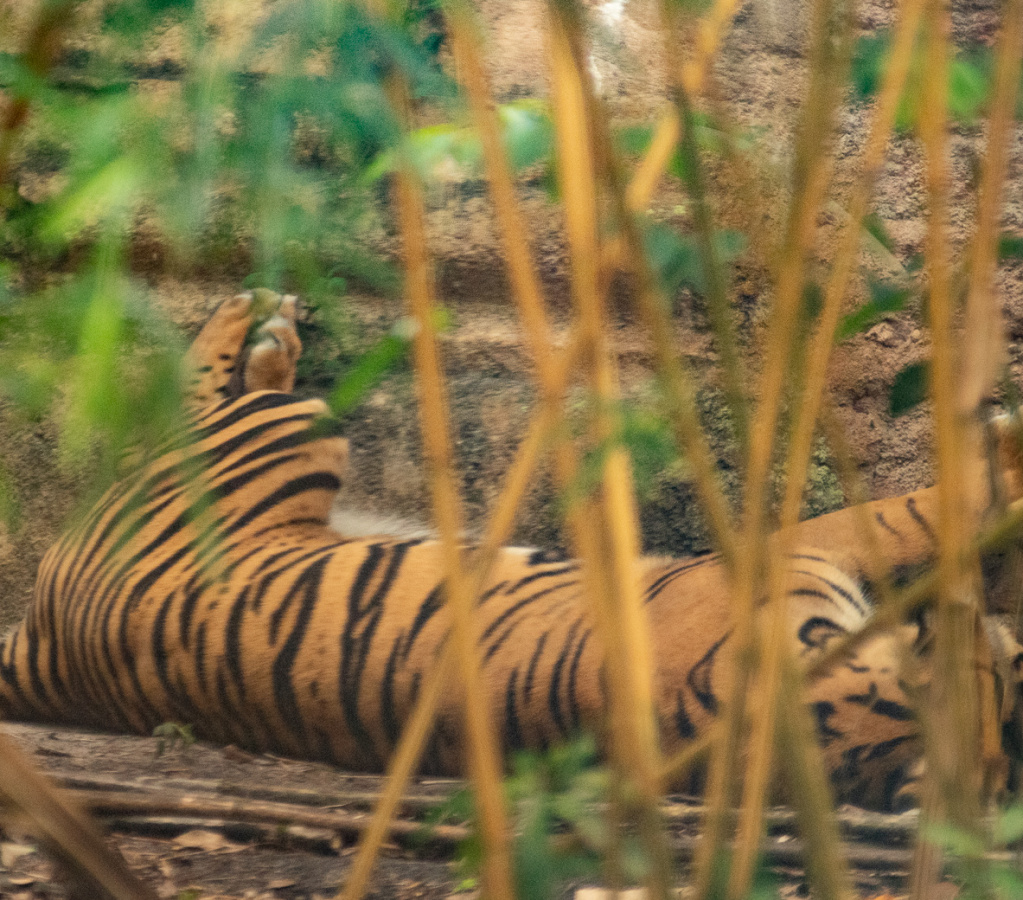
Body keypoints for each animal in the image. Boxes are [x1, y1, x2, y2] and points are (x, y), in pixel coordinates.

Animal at [1, 291, 1021, 812]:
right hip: (286, 431)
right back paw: (260, 313)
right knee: (201, 390)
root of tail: (46, 648)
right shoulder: (789, 550)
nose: (1010, 641)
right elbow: (917, 509)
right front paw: (1001, 460)